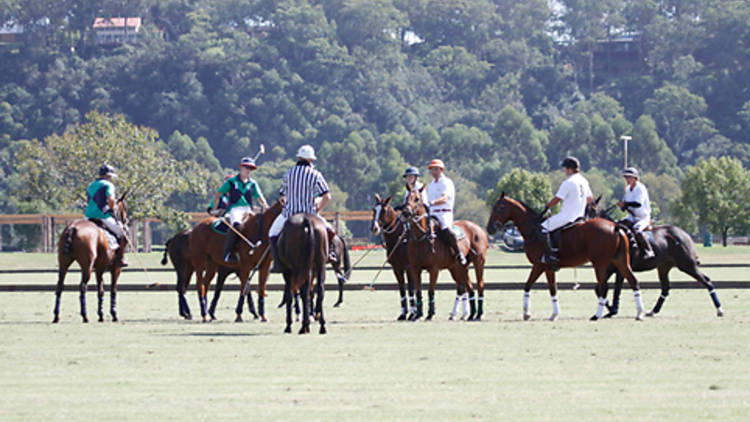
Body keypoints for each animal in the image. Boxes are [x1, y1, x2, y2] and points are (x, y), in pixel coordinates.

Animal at [53, 194, 129, 324]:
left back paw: (56, 316)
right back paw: (85, 316)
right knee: (83, 287)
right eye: (124, 207)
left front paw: (101, 315)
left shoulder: (99, 269)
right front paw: (114, 314)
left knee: (60, 286)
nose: (125, 221)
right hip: (87, 266)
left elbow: (101, 290)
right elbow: (113, 289)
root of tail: (72, 228)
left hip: (63, 264)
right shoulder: (116, 269)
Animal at [402, 187, 490, 320]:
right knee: (467, 287)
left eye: (417, 199)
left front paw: (430, 314)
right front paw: (418, 315)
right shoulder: (414, 268)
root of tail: (479, 229)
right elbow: (418, 291)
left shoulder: (434, 269)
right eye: (407, 197)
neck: (421, 237)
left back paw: (479, 314)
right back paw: (471, 314)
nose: (406, 212)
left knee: (480, 285)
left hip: (478, 262)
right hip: (459, 267)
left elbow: (431, 291)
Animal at [488, 193, 648, 322]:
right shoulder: (547, 267)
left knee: (604, 287)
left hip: (600, 263)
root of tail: (615, 227)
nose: (490, 228)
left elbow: (532, 286)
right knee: (633, 281)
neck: (533, 229)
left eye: (499, 207)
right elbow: (549, 289)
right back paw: (639, 313)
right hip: (621, 261)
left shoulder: (540, 265)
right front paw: (551, 315)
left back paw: (597, 315)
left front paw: (530, 314)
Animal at [592, 206, 724, 318]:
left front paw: (613, 310)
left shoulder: (621, 269)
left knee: (707, 281)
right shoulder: (609, 269)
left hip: (687, 265)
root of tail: (685, 234)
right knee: (665, 288)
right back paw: (653, 311)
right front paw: (609, 309)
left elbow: (616, 290)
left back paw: (719, 310)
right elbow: (598, 288)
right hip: (664, 267)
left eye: (592, 211)